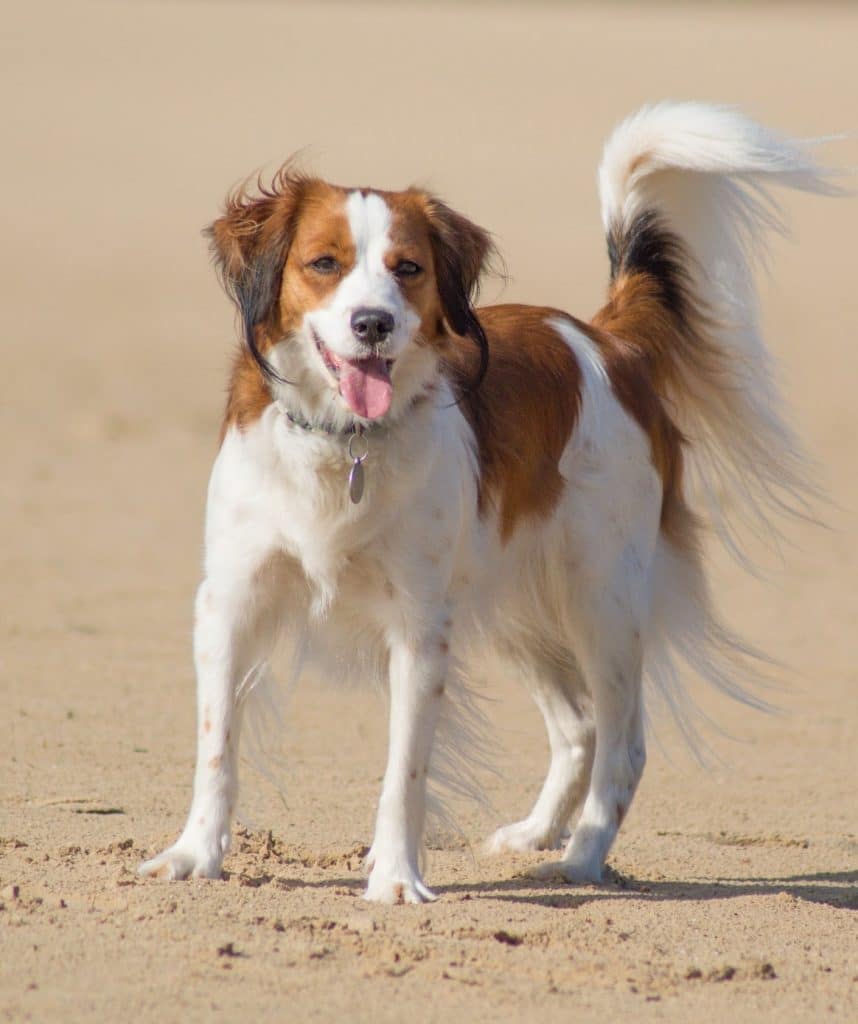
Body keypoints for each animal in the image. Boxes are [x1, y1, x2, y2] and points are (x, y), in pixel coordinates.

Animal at [142, 105, 839, 905]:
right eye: (324, 263)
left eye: (407, 269)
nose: (373, 324)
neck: (344, 443)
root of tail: (608, 340)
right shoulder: (232, 600)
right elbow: (216, 746)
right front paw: (194, 854)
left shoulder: (420, 627)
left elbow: (404, 770)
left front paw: (396, 876)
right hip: (517, 606)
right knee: (578, 727)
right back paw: (535, 833)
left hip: (601, 600)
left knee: (624, 742)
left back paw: (579, 859)